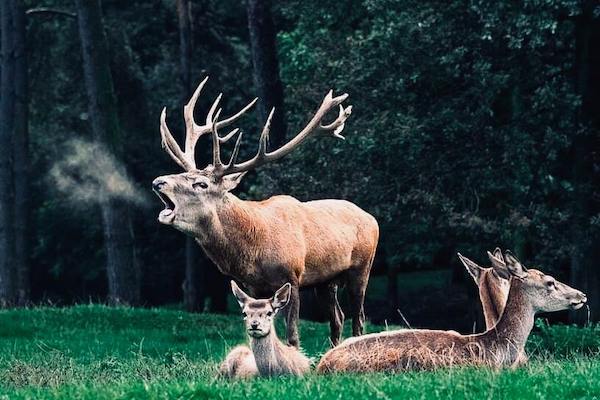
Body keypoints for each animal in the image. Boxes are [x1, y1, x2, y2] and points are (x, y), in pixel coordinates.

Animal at [154, 76, 380, 346]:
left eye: (201, 184)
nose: (158, 181)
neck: (253, 249)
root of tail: (372, 218)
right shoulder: (253, 286)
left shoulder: (292, 276)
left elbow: (292, 335)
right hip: (325, 281)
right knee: (337, 318)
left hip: (362, 267)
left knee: (359, 318)